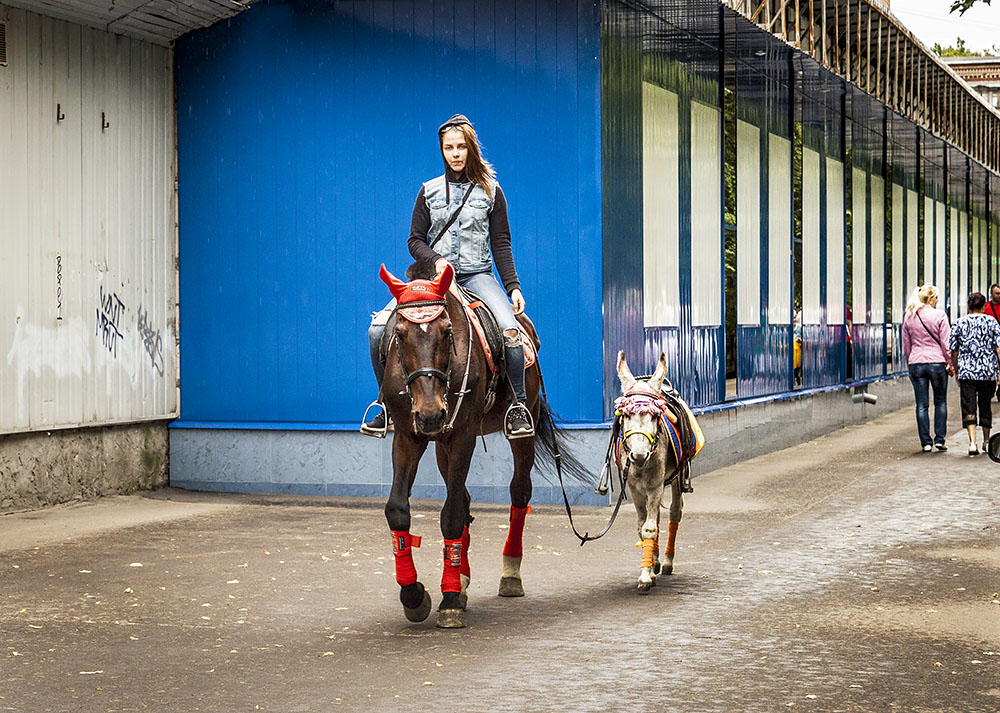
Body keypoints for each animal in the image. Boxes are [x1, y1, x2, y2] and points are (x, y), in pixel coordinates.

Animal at [376, 260, 592, 628]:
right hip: (440, 443)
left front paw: (448, 601)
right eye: (400, 334)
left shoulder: (462, 435)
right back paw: (461, 578)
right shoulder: (409, 435)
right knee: (462, 497)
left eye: (447, 332)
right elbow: (399, 510)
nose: (431, 413)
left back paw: (509, 575)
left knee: (519, 492)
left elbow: (450, 514)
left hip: (522, 423)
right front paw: (415, 595)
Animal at [614, 350, 699, 592]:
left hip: (676, 479)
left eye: (654, 416)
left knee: (674, 513)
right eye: (626, 416)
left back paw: (667, 561)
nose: (639, 455)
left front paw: (645, 576)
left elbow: (649, 529)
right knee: (659, 517)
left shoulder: (654, 486)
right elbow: (642, 527)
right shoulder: (635, 490)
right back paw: (657, 560)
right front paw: (649, 568)